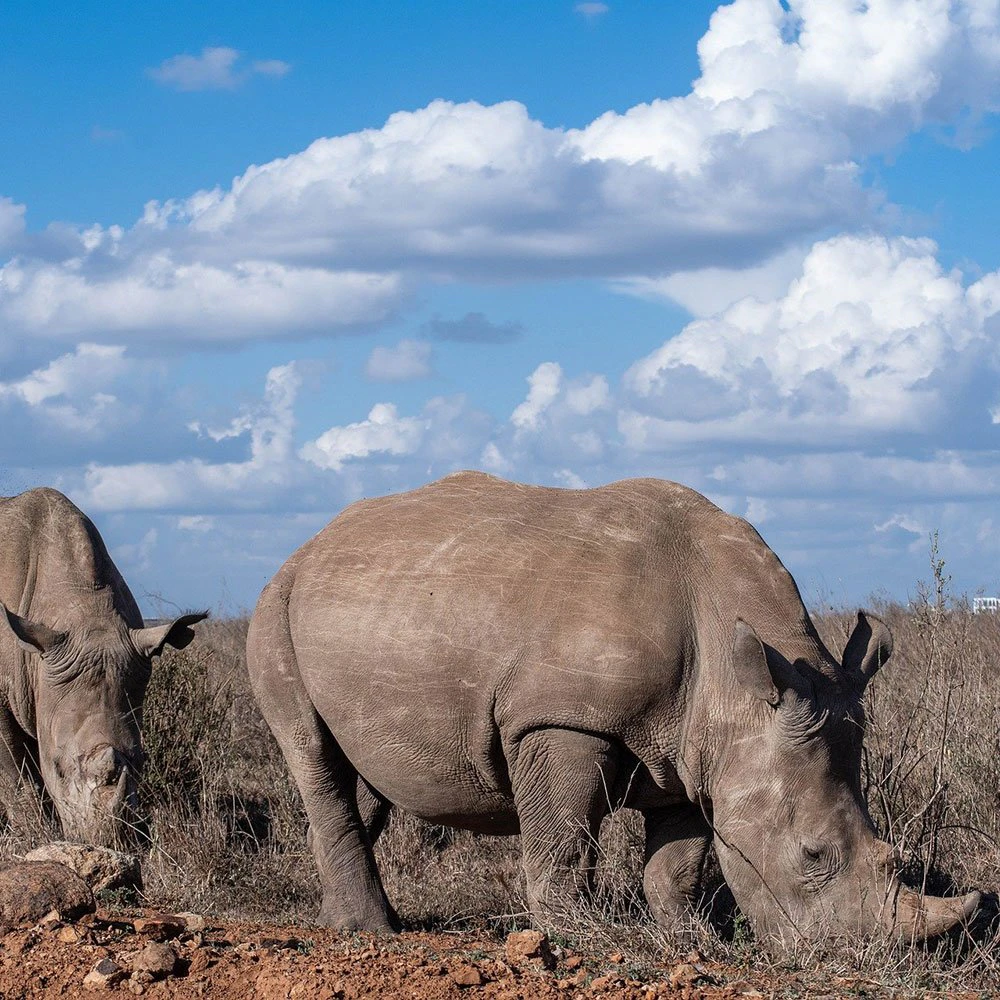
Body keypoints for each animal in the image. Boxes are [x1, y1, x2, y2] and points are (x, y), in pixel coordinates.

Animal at [246, 471, 979, 944]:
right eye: (812, 856)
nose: (853, 957)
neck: (736, 672)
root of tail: (309, 545)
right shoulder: (562, 716)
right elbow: (563, 836)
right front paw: (576, 940)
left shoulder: (692, 744)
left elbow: (677, 861)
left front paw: (691, 942)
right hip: (273, 608)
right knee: (313, 754)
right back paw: (369, 935)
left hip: (368, 605)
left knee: (361, 776)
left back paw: (345, 921)